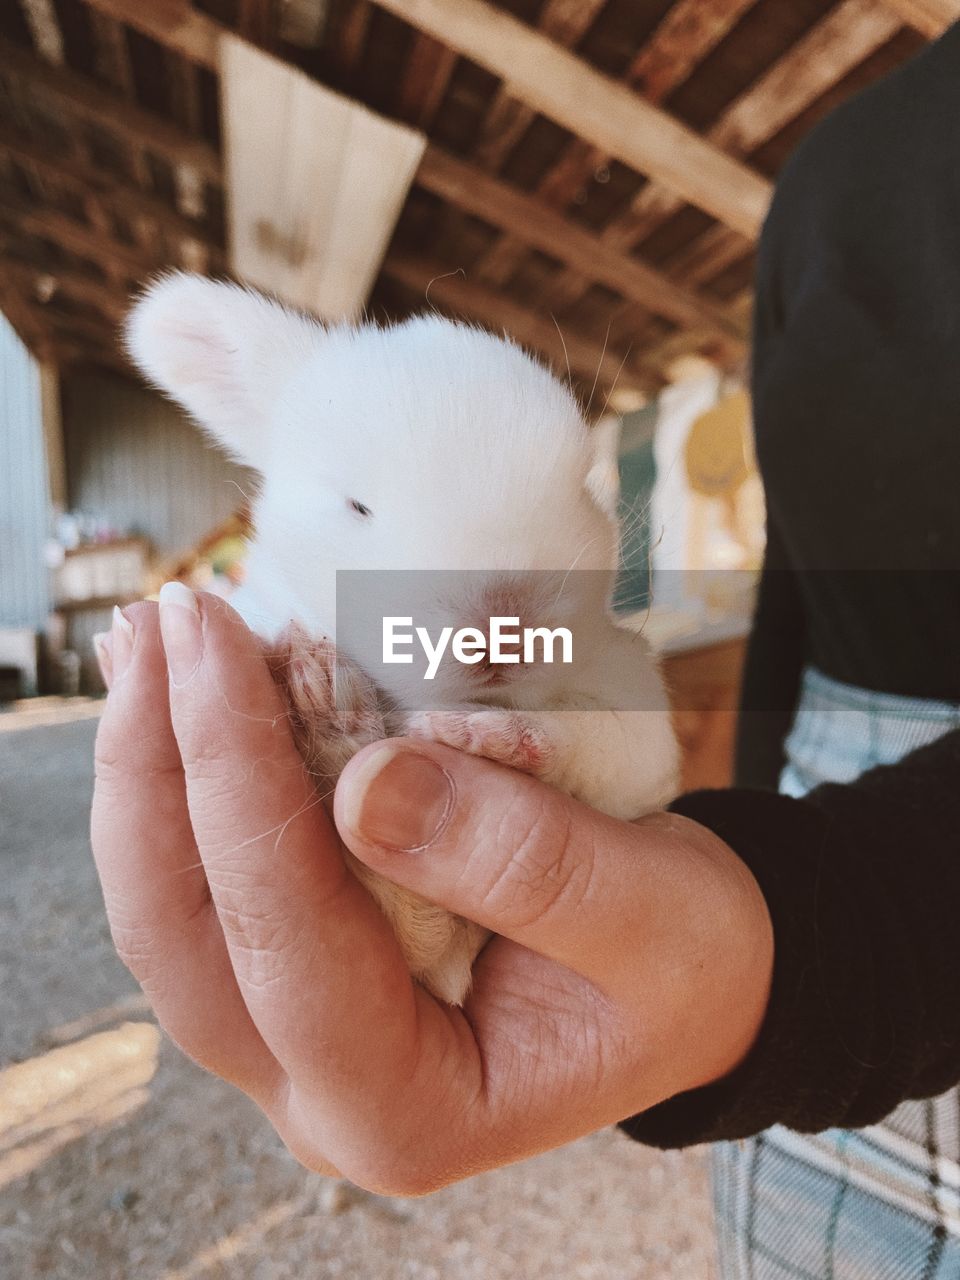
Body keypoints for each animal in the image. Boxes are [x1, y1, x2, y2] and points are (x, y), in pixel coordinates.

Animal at [128, 272, 680, 1008]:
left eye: (584, 490)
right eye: (357, 506)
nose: (503, 629)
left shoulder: (638, 729)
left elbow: (600, 747)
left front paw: (491, 737)